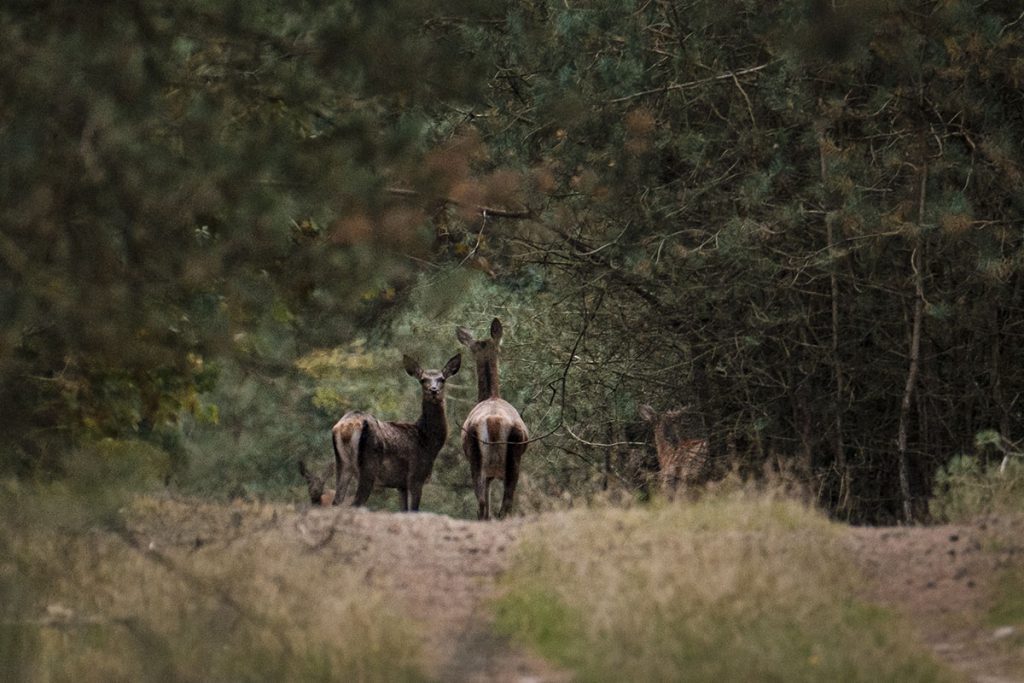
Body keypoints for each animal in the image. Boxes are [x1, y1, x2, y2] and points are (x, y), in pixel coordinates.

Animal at [327, 356, 460, 509]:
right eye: (423, 380)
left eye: (442, 379)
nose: (433, 390)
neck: (428, 442)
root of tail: (345, 427)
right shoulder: (416, 477)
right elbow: (413, 510)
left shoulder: (400, 485)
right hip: (369, 465)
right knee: (356, 503)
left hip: (342, 464)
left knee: (336, 502)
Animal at [460, 317, 532, 520]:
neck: (491, 396)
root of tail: (493, 421)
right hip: (507, 459)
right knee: (498, 505)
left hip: (480, 459)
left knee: (486, 505)